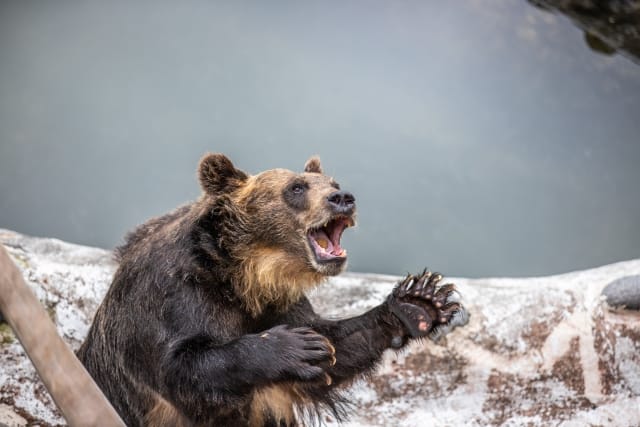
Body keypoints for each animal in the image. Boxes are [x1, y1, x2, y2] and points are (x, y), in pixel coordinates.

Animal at [77, 153, 469, 427]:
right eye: (296, 187)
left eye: (332, 181)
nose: (343, 197)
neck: (243, 275)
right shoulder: (174, 298)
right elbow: (184, 367)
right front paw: (295, 347)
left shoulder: (280, 301)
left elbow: (337, 347)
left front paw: (418, 303)